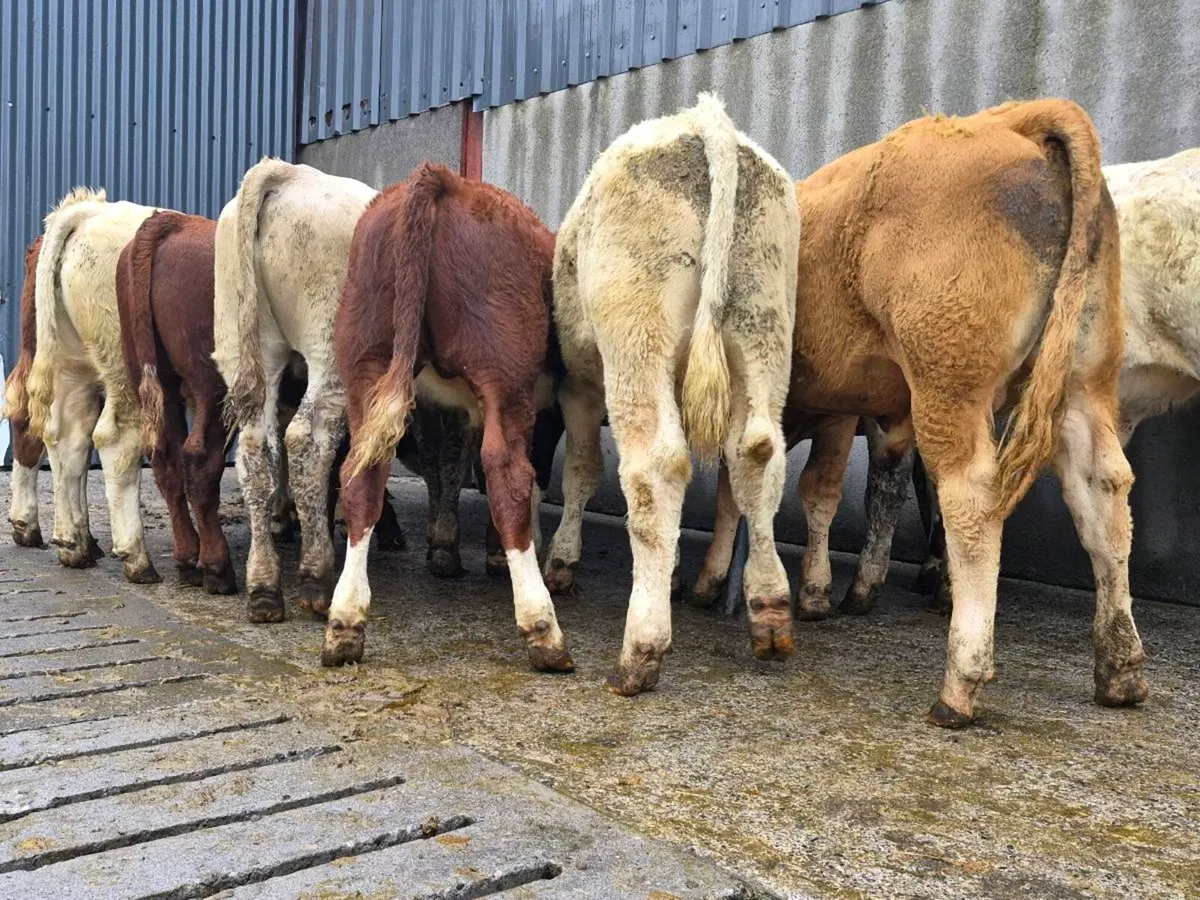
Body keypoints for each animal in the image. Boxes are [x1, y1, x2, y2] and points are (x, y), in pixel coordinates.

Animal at [18, 189, 161, 582]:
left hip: (70, 364)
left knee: (64, 436)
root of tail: (89, 211)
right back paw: (137, 559)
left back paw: (74, 545)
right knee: (114, 440)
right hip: (122, 367)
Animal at [114, 211, 238, 593]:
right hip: (213, 385)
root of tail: (173, 223)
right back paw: (216, 567)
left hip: (155, 381)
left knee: (165, 461)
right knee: (200, 460)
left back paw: (187, 560)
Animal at [323, 162, 563, 671]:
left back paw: (345, 624)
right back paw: (543, 629)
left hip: (367, 361)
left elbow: (449, 468)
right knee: (508, 474)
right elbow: (528, 477)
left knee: (361, 473)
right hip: (505, 375)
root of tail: (443, 178)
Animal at [544, 94, 802, 695]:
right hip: (764, 325)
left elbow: (581, 470)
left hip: (637, 336)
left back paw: (641, 649)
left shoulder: (579, 388)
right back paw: (770, 612)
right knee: (758, 453)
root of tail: (704, 120)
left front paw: (563, 561)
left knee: (655, 466)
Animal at [693, 100, 1144, 727]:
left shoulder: (827, 407)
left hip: (948, 381)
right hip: (1084, 380)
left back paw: (961, 683)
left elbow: (769, 491)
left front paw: (737, 584)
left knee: (972, 499)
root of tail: (1016, 119)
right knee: (1104, 493)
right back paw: (1120, 667)